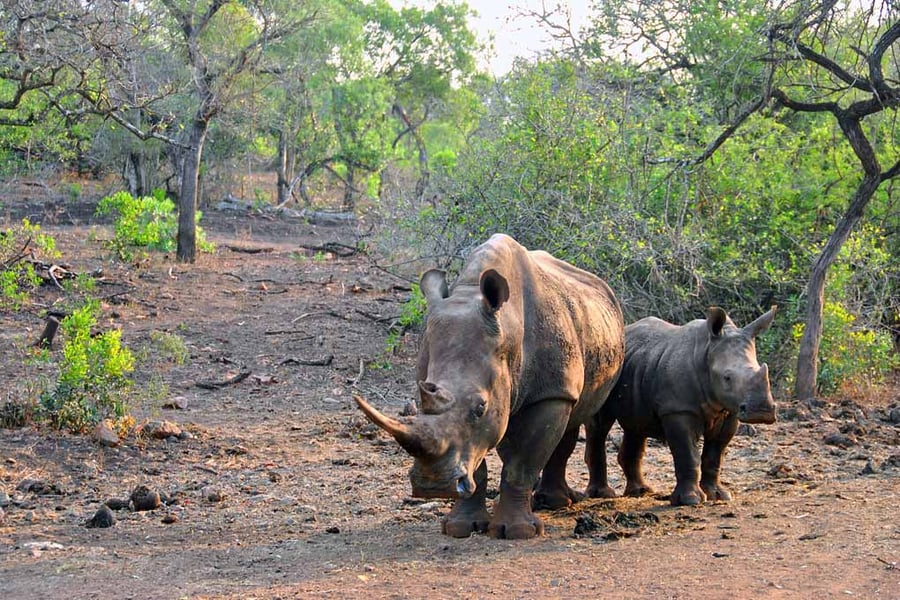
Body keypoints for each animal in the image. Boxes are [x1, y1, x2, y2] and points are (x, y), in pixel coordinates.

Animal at [355, 234, 624, 539]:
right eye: (419, 401)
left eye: (480, 407)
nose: (432, 486)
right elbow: (478, 456)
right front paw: (460, 527)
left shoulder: (549, 392)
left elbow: (522, 463)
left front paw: (518, 532)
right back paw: (545, 502)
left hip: (572, 373)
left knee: (579, 417)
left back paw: (556, 503)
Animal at [585, 306, 777, 506]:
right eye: (727, 378)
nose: (761, 412)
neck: (707, 352)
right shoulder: (678, 409)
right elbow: (687, 454)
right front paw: (690, 500)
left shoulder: (730, 411)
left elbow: (715, 455)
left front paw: (718, 495)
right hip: (600, 368)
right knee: (599, 425)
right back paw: (603, 494)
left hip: (639, 364)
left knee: (636, 425)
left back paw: (641, 491)